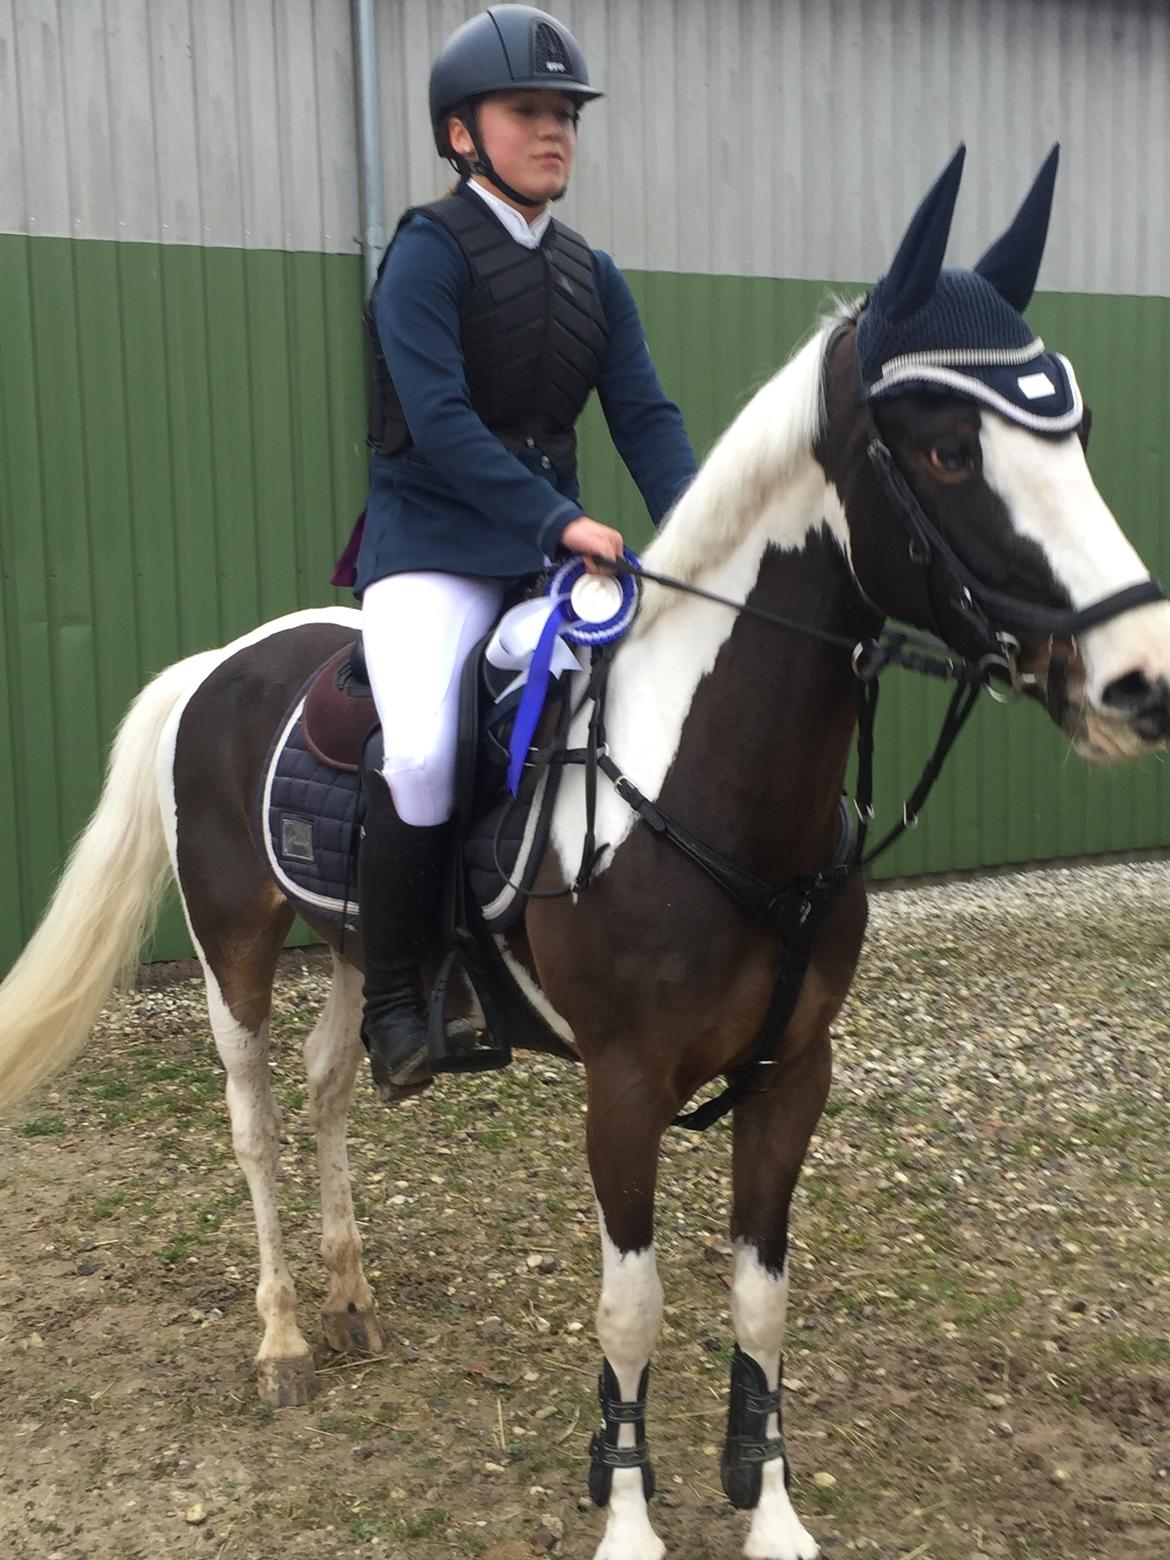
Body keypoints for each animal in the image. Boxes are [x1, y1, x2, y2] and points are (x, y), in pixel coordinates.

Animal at [3, 146, 1170, 1560]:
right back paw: (282, 1336)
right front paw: (627, 1514)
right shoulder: (623, 1087)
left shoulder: (794, 1077)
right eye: (949, 447)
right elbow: (632, 1307)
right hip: (237, 947)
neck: (704, 777)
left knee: (332, 1086)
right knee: (257, 1123)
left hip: (356, 951)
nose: (1140, 679)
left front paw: (769, 1509)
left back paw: (349, 1297)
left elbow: (763, 1299)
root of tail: (216, 665)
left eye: (1080, 435)